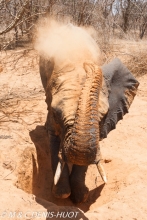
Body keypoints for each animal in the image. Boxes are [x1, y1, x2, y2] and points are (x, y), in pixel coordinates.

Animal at [39, 56, 139, 203]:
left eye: (104, 116)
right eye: (56, 113)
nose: (87, 64)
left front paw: (80, 197)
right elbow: (54, 139)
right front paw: (62, 194)